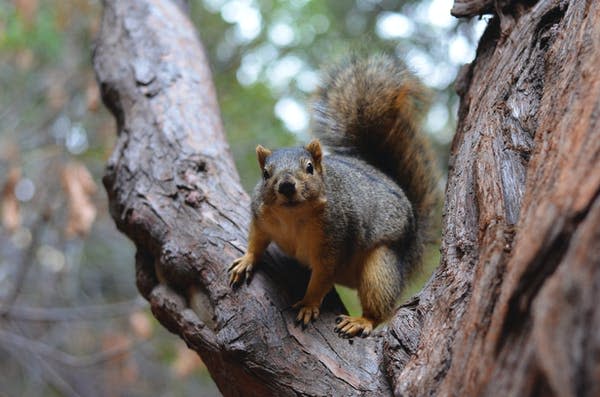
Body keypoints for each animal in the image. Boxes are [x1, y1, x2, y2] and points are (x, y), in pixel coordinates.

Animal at [227, 53, 438, 338]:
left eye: (309, 168)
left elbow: (322, 278)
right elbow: (256, 241)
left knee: (379, 305)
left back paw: (362, 321)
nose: (286, 186)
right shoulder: (260, 217)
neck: (292, 216)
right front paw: (247, 260)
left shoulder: (335, 241)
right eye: (265, 174)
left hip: (381, 263)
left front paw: (308, 304)